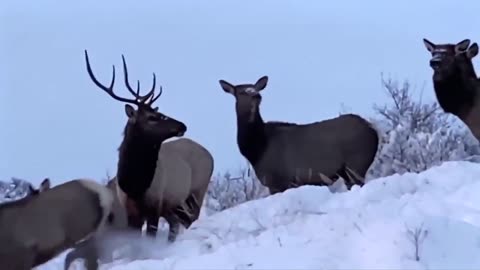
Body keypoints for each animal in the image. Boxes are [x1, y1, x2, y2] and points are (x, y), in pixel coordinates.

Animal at [218, 76, 378, 194]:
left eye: (256, 88)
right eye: (241, 92)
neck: (256, 150)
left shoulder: (278, 181)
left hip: (356, 164)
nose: (256, 95)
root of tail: (373, 131)